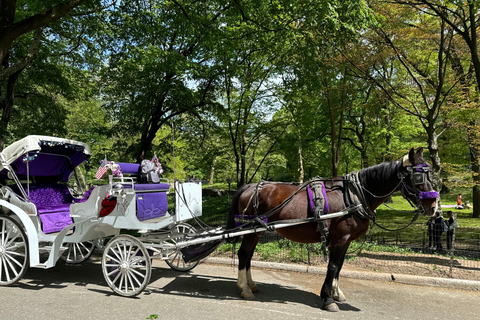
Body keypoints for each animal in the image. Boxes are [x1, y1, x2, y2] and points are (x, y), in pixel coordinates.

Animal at [227, 148, 436, 312]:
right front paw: (328, 299)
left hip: (257, 231)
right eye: (418, 176)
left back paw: (251, 285)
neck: (354, 196)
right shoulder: (340, 238)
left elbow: (340, 266)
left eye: (432, 175)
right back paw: (245, 288)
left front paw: (336, 293)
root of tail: (251, 186)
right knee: (243, 254)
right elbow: (333, 266)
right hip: (251, 230)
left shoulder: (346, 240)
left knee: (248, 255)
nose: (434, 207)